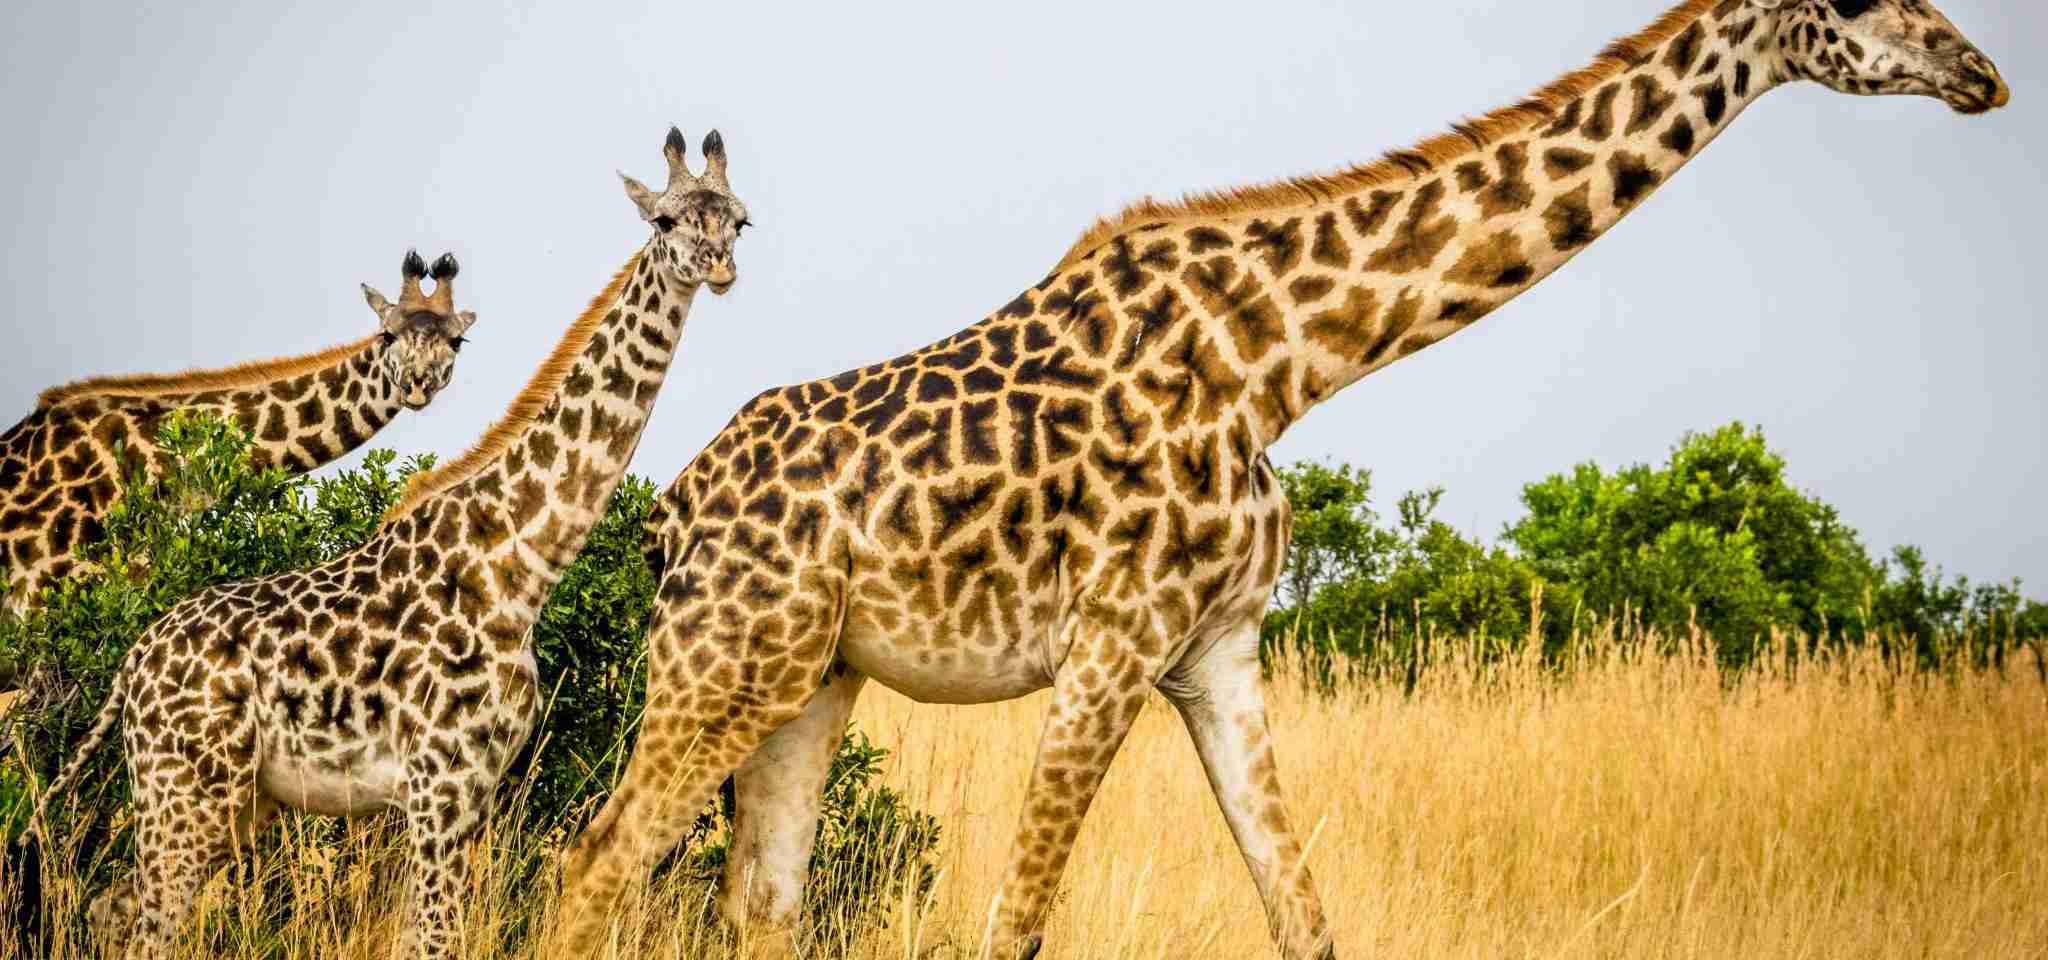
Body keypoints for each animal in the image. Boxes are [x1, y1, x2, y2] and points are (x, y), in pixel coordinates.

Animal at [548, 2, 2007, 957]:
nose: (1980, 70)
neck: (1281, 360)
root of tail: (669, 513)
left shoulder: (1220, 651)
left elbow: (1303, 914)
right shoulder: (1110, 645)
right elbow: (1014, 922)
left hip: (810, 678)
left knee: (758, 900)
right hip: (718, 664)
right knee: (594, 862)